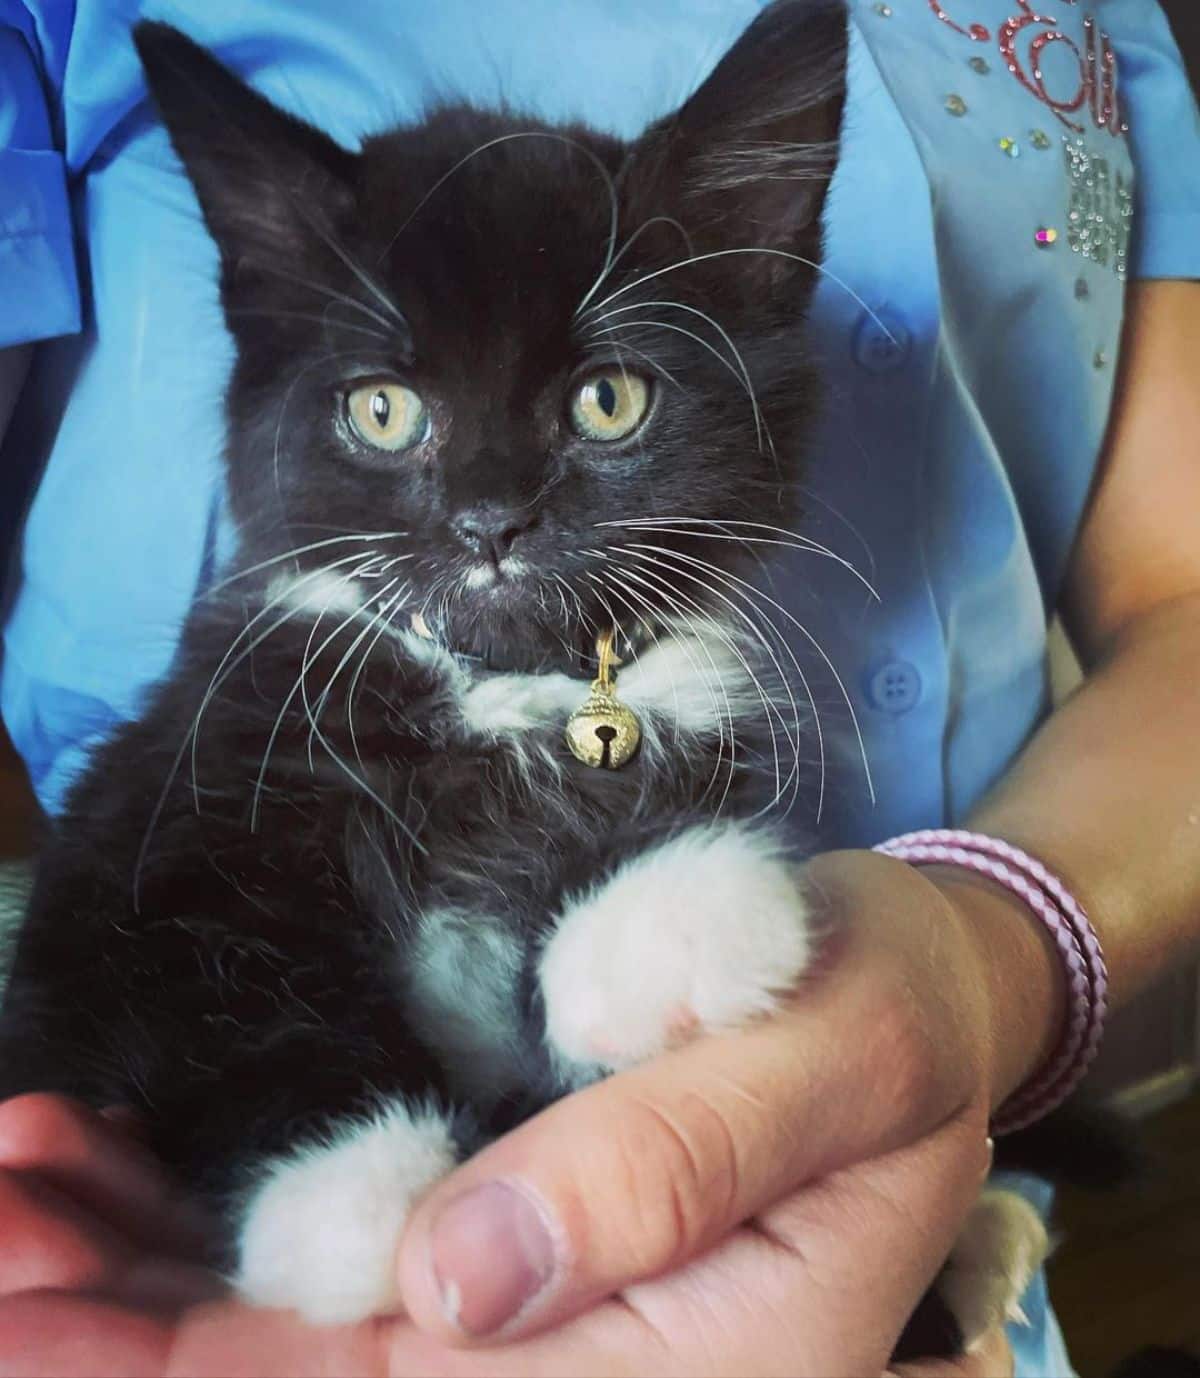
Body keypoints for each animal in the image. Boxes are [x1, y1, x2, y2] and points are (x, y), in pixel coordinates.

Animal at [0, 2, 1041, 1355]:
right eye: (383, 412)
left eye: (607, 399)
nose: (491, 520)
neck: (497, 698)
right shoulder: (140, 835)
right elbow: (199, 986)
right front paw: (347, 1193)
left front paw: (662, 924)